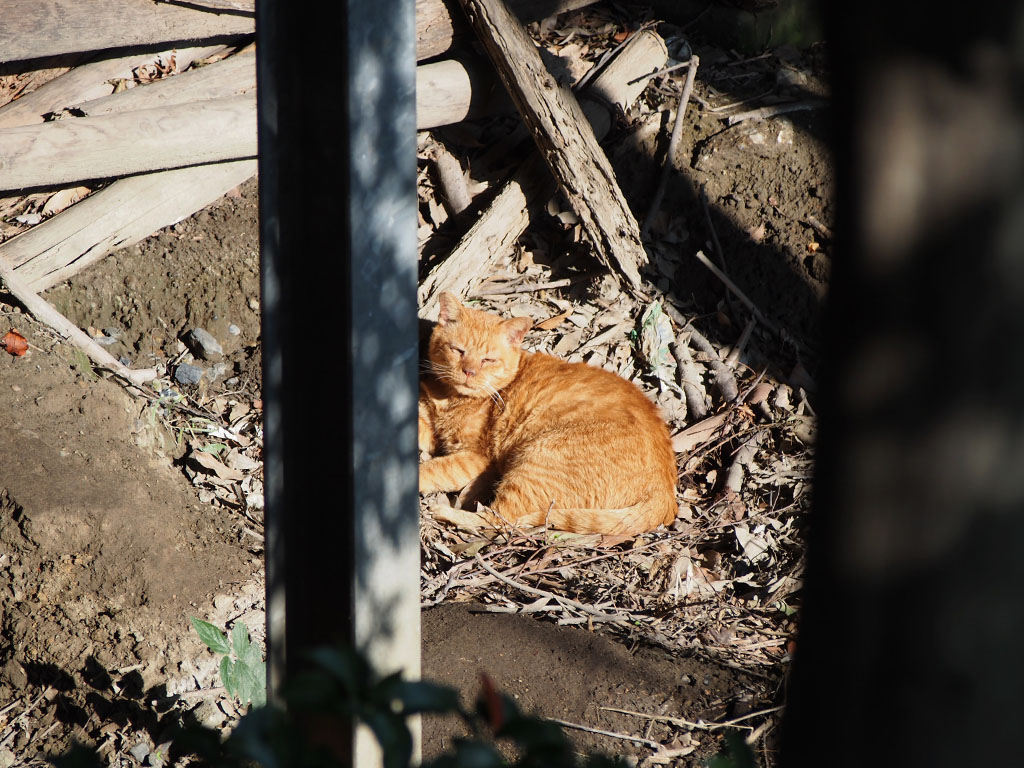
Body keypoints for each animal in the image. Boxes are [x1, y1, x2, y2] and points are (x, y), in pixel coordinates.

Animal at [419, 290, 675, 536]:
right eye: (457, 350)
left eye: (488, 360)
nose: (469, 371)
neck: (450, 397)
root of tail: (666, 493)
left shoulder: (475, 457)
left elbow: (434, 470)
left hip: (534, 460)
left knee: (500, 521)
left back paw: (442, 512)